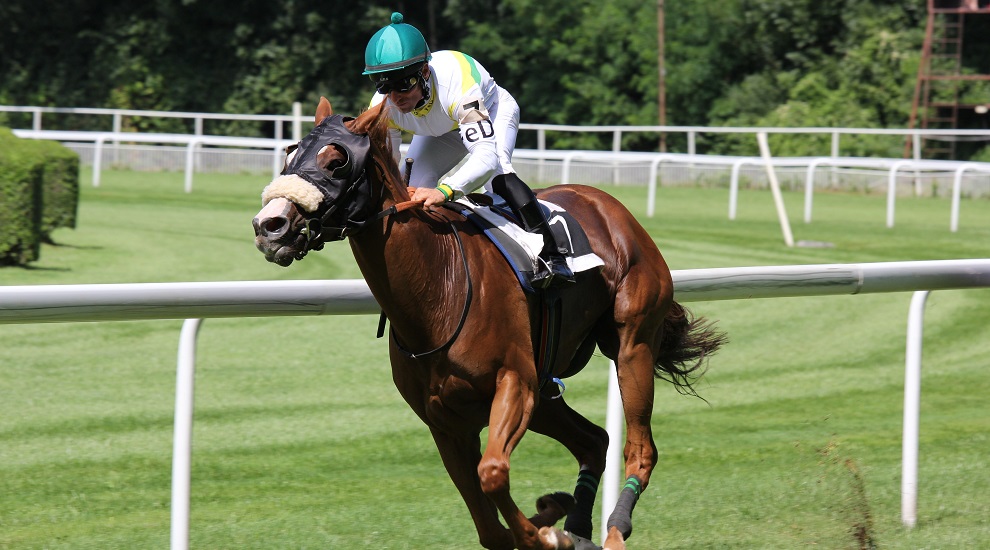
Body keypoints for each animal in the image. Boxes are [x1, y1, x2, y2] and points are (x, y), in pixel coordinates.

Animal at [252, 97, 725, 550]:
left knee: (640, 448)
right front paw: (550, 522)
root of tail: (610, 206)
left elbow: (493, 472)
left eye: (337, 161)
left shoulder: (514, 383)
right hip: (546, 390)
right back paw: (576, 528)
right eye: (291, 154)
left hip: (631, 344)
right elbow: (489, 527)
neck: (438, 289)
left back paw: (612, 530)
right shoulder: (446, 421)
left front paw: (544, 533)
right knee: (594, 440)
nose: (269, 226)